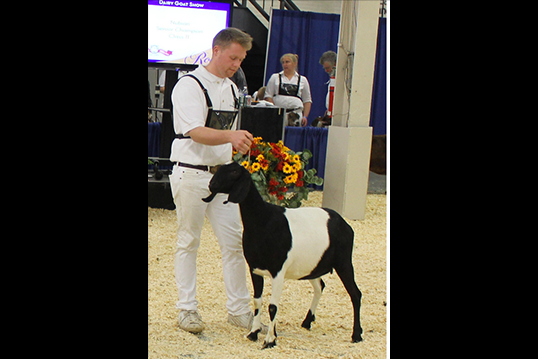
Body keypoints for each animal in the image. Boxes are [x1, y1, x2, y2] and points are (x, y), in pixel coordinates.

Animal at [203, 163, 362, 348]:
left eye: (234, 171)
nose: (211, 185)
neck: (263, 220)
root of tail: (346, 225)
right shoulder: (255, 269)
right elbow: (257, 301)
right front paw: (253, 333)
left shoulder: (278, 271)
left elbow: (273, 306)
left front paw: (270, 340)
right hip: (312, 265)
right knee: (320, 286)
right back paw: (307, 322)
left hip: (344, 262)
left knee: (355, 294)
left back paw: (356, 335)